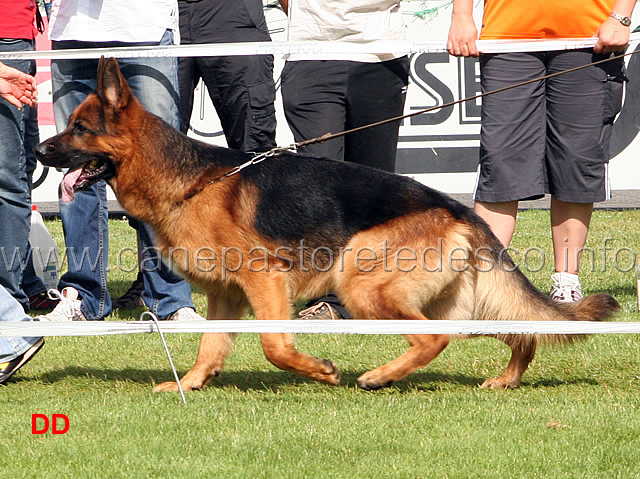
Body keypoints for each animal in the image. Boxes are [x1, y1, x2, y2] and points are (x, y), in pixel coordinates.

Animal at [36, 57, 620, 394]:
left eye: (80, 129)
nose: (40, 151)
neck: (188, 181)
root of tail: (458, 209)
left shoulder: (264, 281)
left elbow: (275, 347)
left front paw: (319, 369)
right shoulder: (226, 295)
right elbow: (210, 346)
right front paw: (193, 385)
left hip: (362, 285)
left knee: (435, 337)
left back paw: (380, 377)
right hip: (457, 299)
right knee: (518, 329)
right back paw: (505, 379)